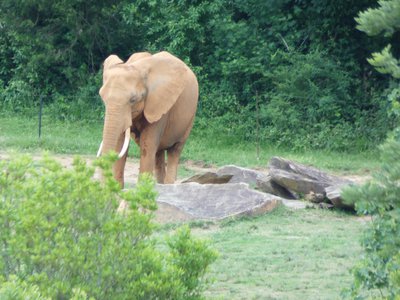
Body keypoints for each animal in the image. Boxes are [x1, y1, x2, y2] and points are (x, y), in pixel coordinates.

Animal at [95, 51, 198, 188]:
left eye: (133, 99)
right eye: (102, 97)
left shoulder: (160, 106)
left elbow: (147, 146)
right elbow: (120, 144)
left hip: (190, 117)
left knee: (175, 151)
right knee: (158, 154)